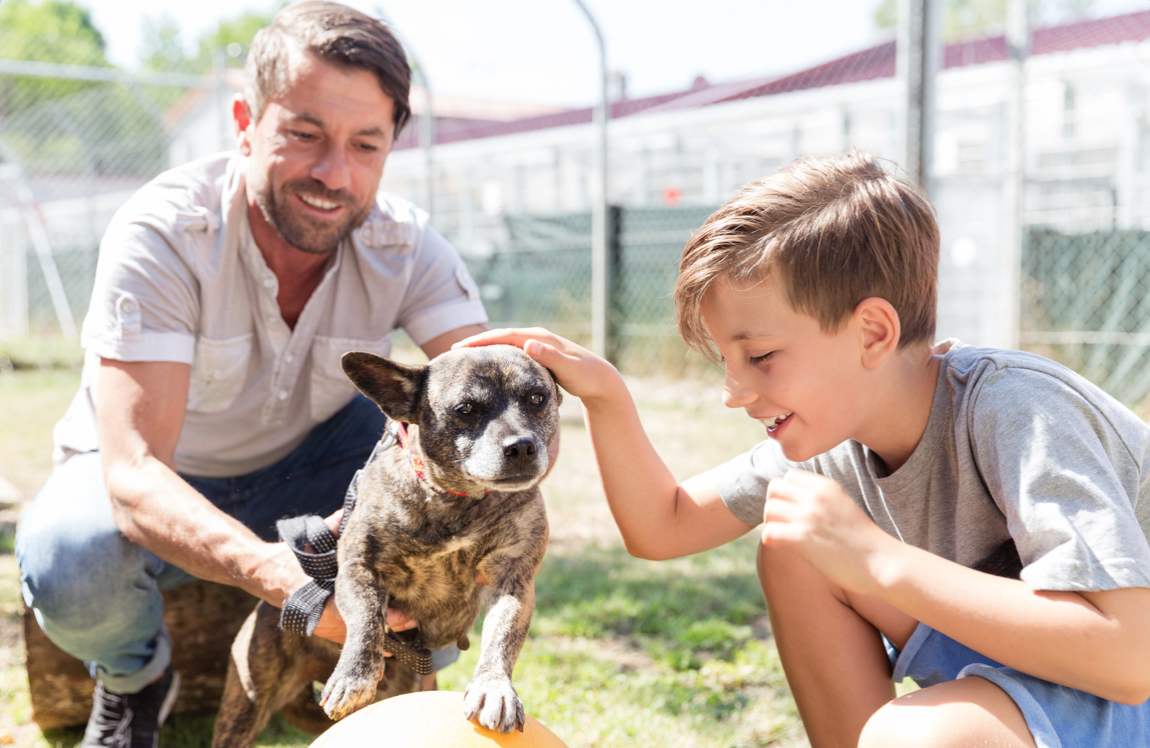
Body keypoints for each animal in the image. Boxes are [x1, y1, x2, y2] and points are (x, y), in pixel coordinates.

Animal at [213, 345, 563, 745]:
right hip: (248, 700)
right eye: (465, 410)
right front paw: (355, 675)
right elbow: (368, 617)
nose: (521, 447)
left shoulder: (513, 579)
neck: (455, 499)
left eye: (537, 398)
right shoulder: (359, 569)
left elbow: (501, 637)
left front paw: (493, 688)